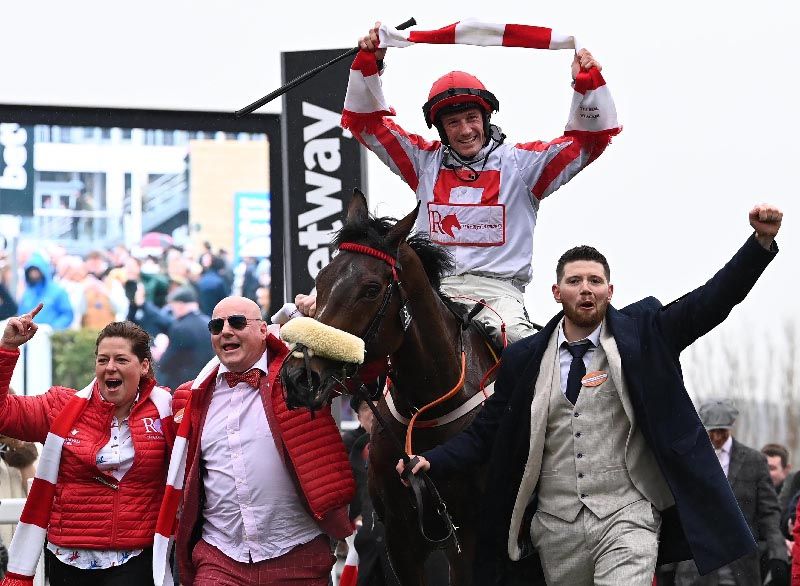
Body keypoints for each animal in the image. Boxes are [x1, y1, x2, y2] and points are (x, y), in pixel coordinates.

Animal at [278, 192, 496, 584]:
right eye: (321, 278)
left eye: (371, 289)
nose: (299, 377)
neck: (429, 410)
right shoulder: (400, 536)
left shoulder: (471, 534)